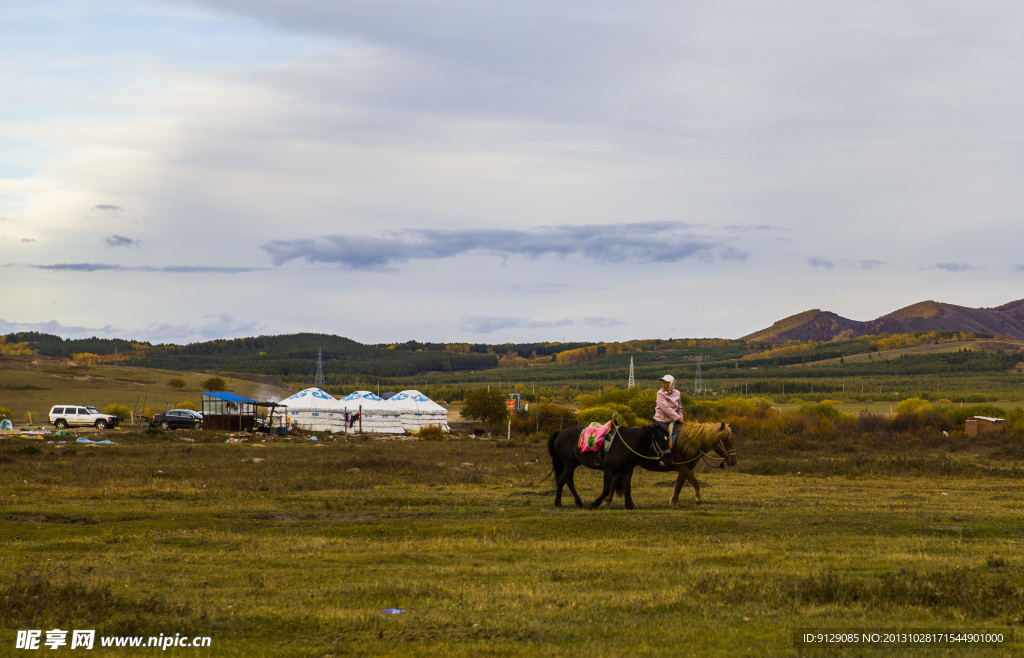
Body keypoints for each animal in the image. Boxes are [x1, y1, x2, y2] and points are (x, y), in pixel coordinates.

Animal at [606, 425, 737, 507]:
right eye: (725, 440)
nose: (733, 461)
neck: (688, 443)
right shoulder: (683, 468)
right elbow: (695, 483)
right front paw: (699, 501)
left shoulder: (685, 468)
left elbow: (679, 485)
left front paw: (674, 502)